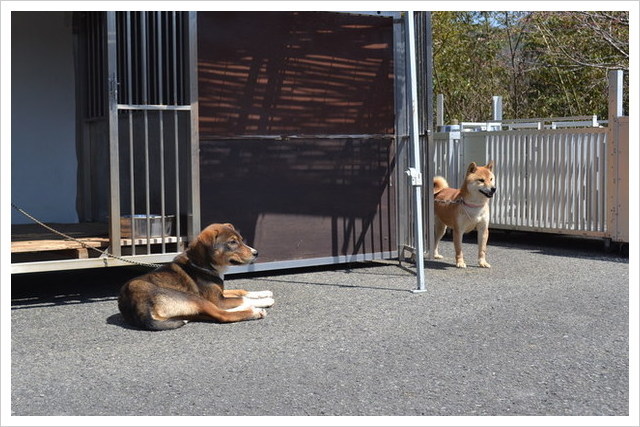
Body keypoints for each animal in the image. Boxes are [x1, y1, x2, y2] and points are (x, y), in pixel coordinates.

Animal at [119, 224, 274, 332]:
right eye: (232, 242)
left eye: (241, 240)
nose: (256, 253)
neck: (201, 265)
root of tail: (137, 307)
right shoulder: (217, 299)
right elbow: (241, 298)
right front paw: (266, 300)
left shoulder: (220, 293)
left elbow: (241, 291)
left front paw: (264, 293)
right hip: (192, 297)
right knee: (221, 315)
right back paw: (255, 311)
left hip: (189, 311)